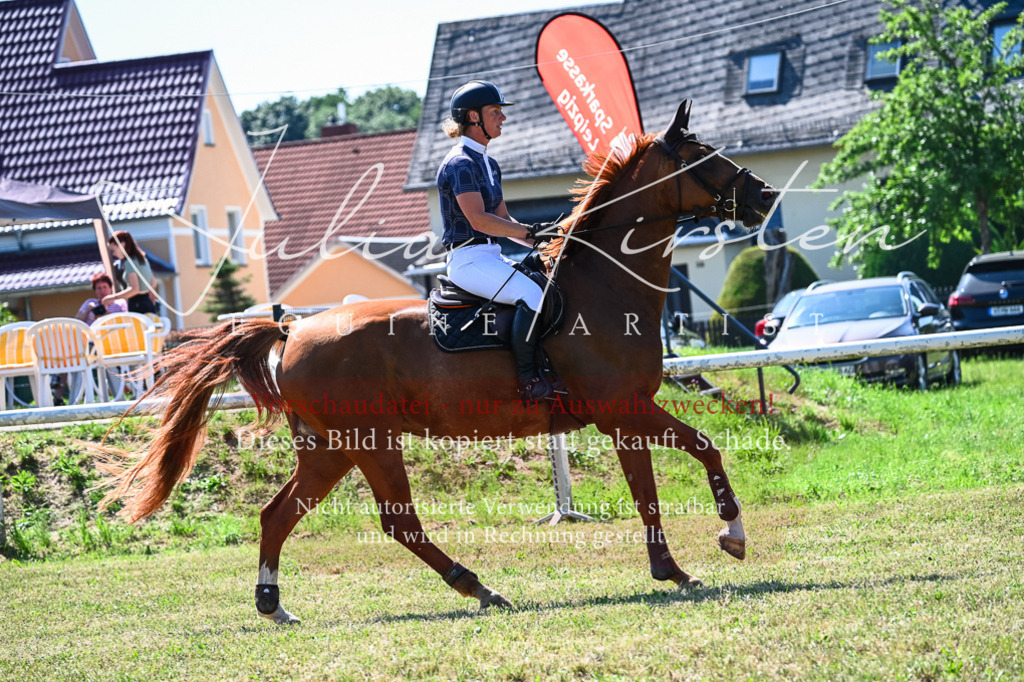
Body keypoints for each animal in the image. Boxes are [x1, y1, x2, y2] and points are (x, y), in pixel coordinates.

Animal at [97, 100, 776, 624]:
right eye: (704, 157)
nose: (766, 195)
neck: (602, 288)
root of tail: (292, 330)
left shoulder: (622, 416)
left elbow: (649, 490)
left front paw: (671, 570)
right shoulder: (625, 410)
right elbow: (705, 449)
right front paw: (730, 536)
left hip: (329, 448)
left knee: (278, 514)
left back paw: (275, 604)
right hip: (369, 442)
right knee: (398, 521)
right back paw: (477, 587)